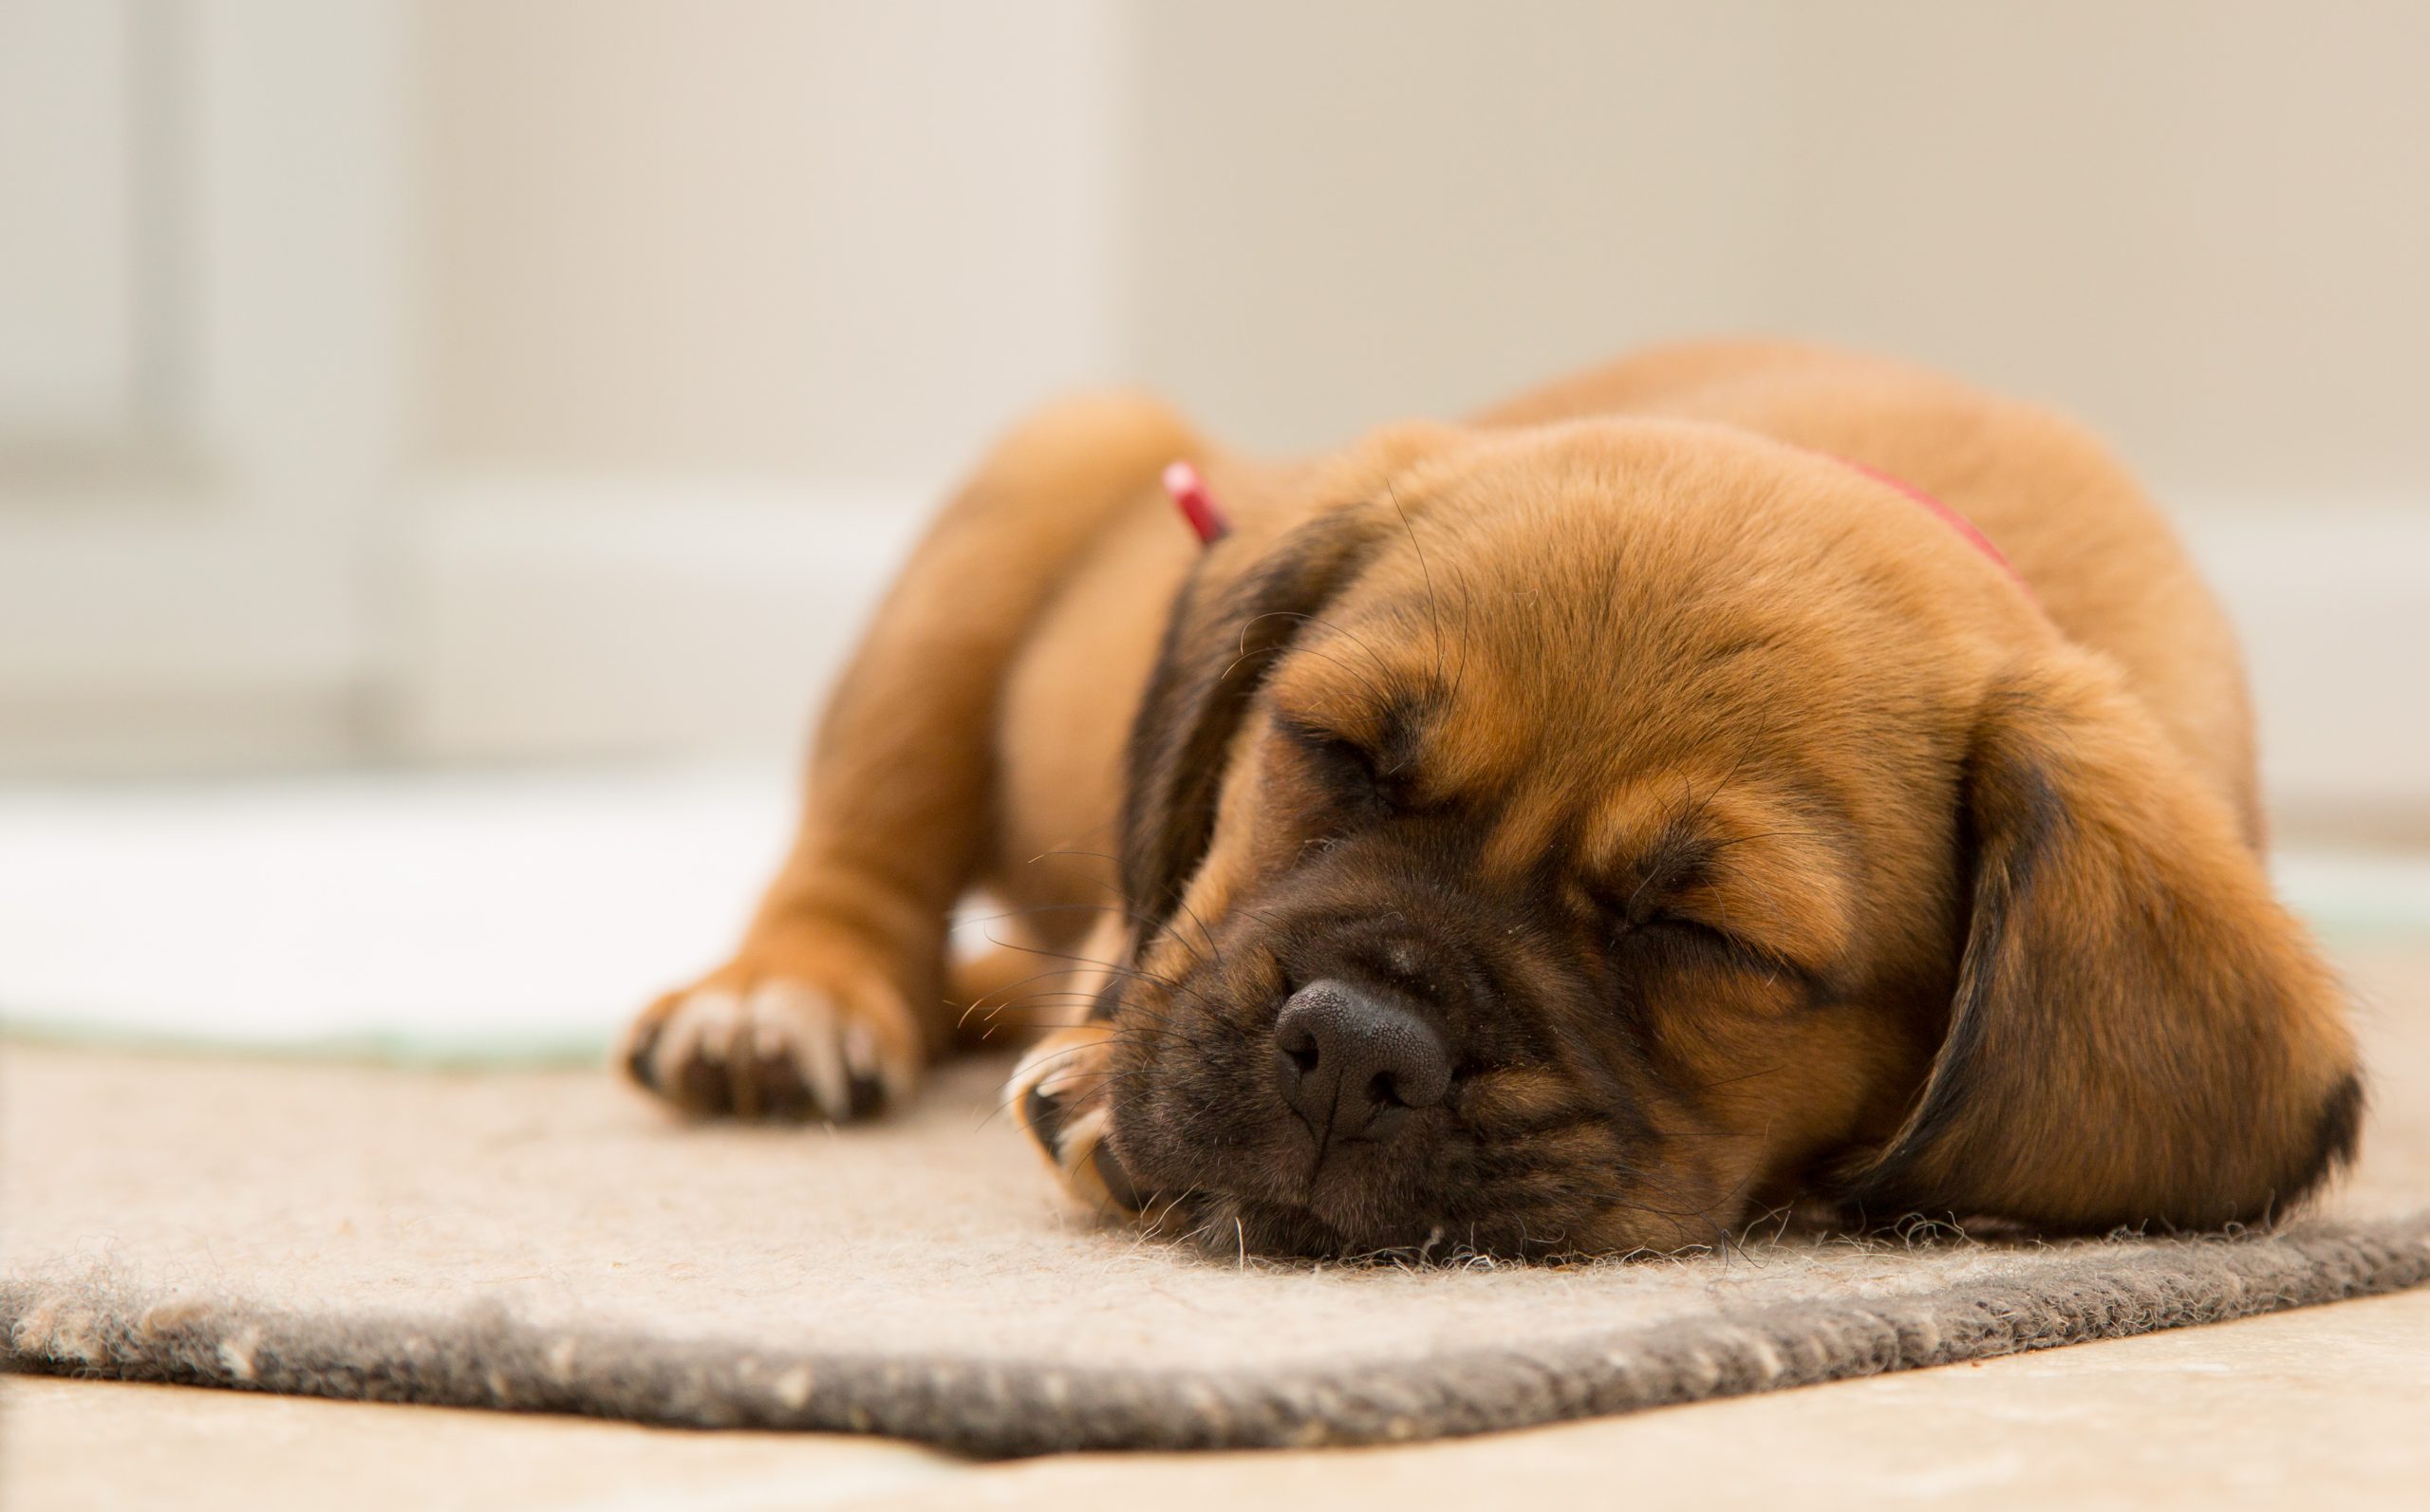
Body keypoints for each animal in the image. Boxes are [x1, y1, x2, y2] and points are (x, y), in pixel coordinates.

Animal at [617, 343, 2362, 1263]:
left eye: (1706, 935)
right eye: (1334, 752)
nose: (1354, 1049)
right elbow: (1153, 931)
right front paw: (1107, 1069)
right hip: (1029, 499)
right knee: (865, 852)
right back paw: (787, 998)